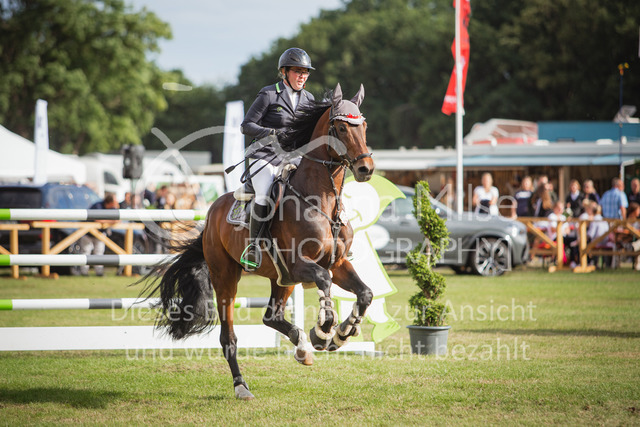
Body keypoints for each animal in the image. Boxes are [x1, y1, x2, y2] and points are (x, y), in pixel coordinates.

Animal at [141, 83, 375, 400]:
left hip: (281, 279)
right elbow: (324, 280)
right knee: (228, 336)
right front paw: (323, 330)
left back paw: (302, 348)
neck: (322, 201)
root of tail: (212, 212)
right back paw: (242, 386)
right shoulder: (300, 264)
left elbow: (365, 294)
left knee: (270, 316)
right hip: (227, 278)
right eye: (339, 127)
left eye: (363, 125)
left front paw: (341, 334)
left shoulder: (336, 263)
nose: (366, 168)